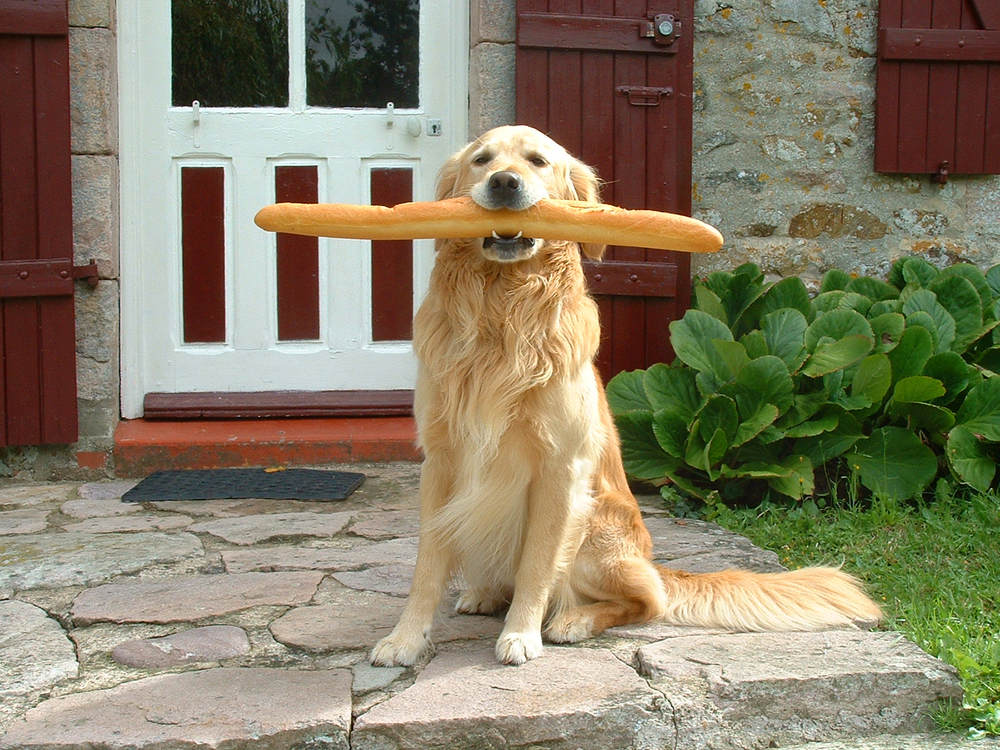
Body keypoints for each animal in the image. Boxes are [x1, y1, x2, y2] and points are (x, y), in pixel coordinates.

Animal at [370, 128, 884, 668]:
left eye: (538, 161)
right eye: (481, 160)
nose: (504, 182)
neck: (501, 309)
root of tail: (654, 562)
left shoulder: (561, 466)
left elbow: (537, 564)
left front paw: (522, 635)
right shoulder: (441, 459)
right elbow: (427, 564)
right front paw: (406, 638)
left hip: (597, 532)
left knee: (646, 599)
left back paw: (572, 620)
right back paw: (484, 594)